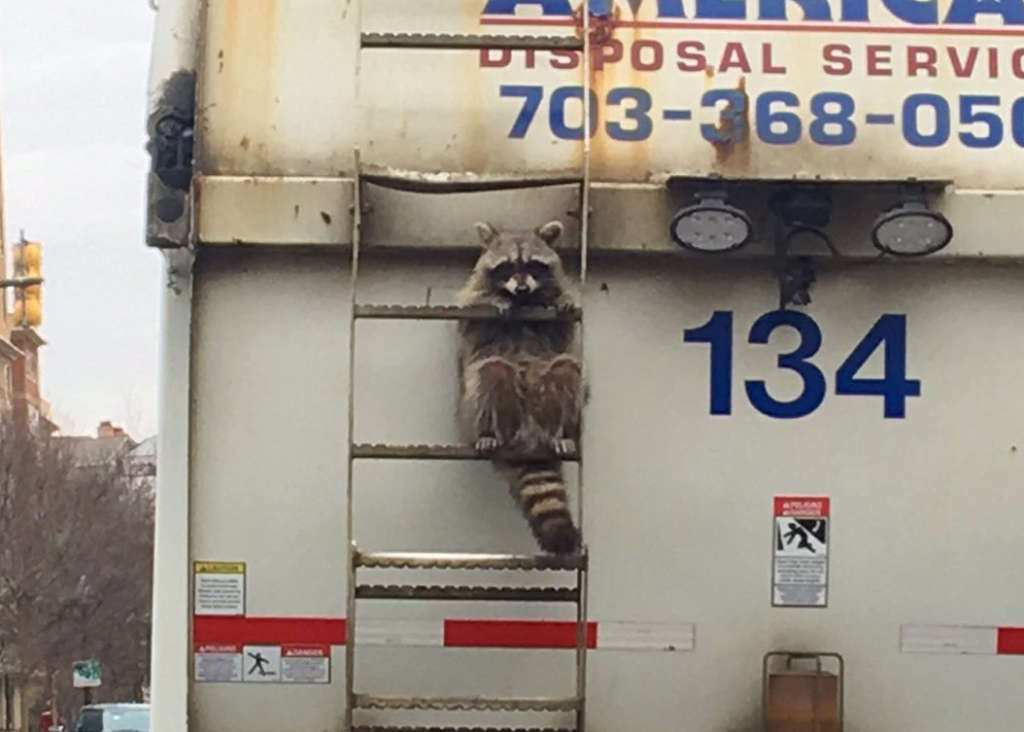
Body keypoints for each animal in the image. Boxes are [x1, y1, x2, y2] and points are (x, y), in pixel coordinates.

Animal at [456, 220, 583, 554]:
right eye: (508, 266)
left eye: (533, 265)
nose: (523, 288)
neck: (524, 301)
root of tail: (528, 435)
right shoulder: (472, 295)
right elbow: (469, 317)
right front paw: (496, 300)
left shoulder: (559, 293)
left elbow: (564, 332)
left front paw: (560, 301)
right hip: (475, 409)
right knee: (491, 372)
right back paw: (489, 433)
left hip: (545, 400)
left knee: (566, 370)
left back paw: (559, 433)